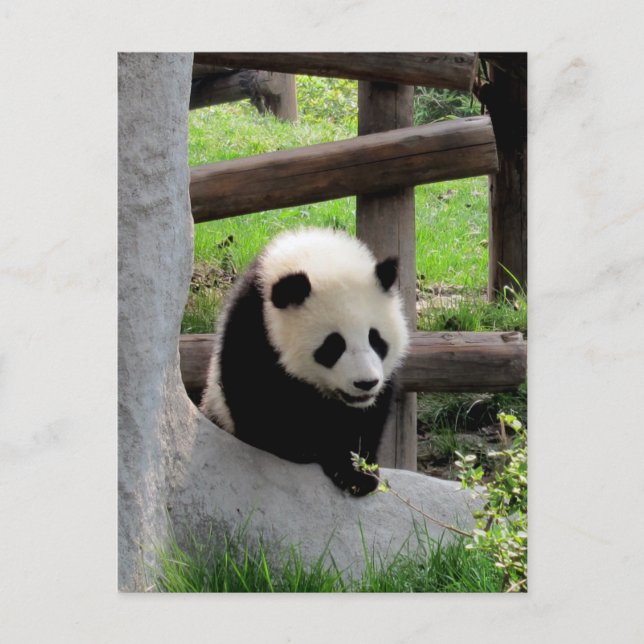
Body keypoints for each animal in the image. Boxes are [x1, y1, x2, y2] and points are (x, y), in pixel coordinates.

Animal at [200, 227, 409, 496]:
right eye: (333, 346)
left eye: (376, 339)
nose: (365, 383)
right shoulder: (254, 326)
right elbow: (257, 398)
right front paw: (300, 448)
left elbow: (367, 417)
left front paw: (357, 474)